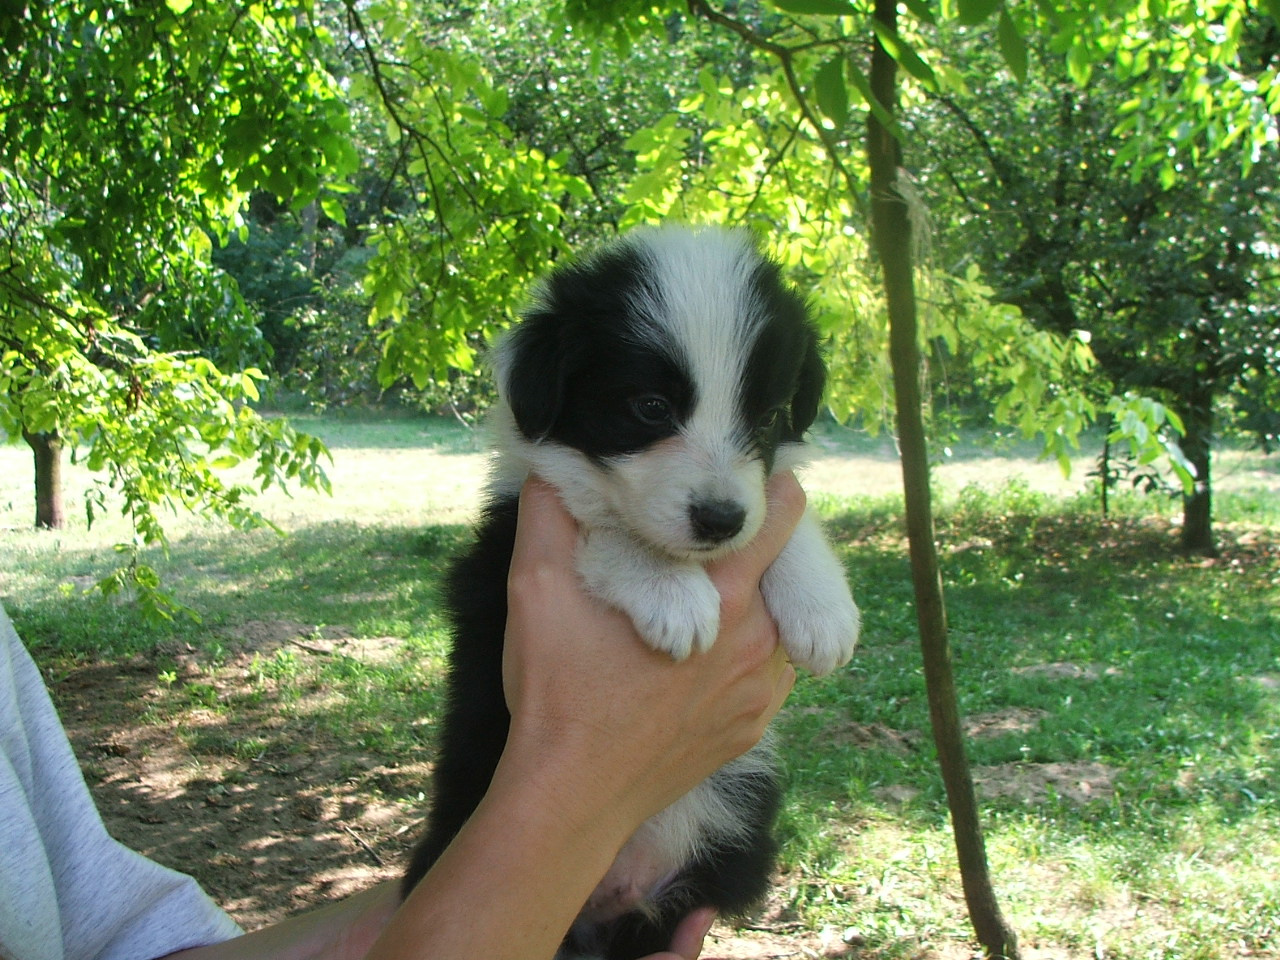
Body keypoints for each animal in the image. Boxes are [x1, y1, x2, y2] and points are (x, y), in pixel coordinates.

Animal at [399, 227, 860, 960]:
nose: (719, 519)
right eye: (650, 407)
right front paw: (674, 595)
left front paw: (822, 609)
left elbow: (782, 514)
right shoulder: (511, 541)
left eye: (766, 416)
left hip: (728, 840)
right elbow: (604, 528)